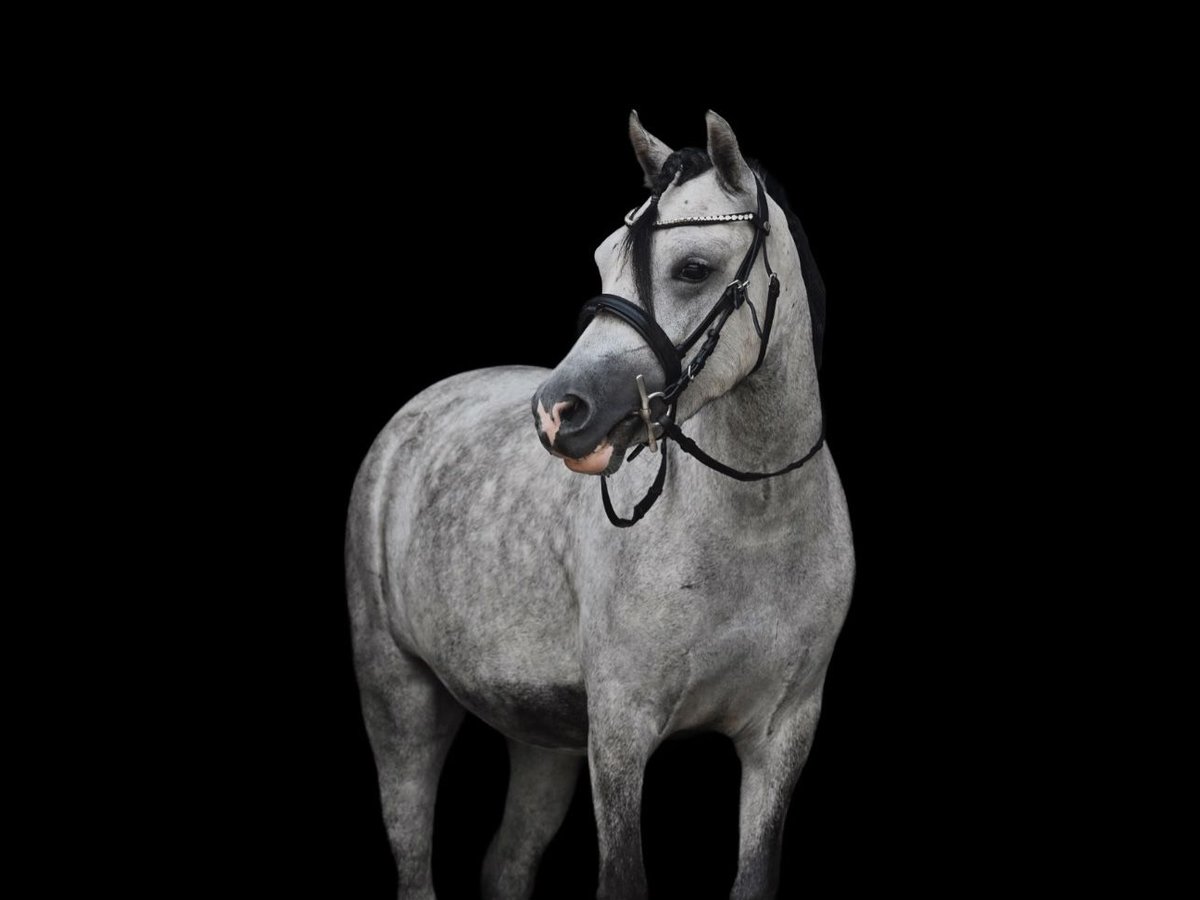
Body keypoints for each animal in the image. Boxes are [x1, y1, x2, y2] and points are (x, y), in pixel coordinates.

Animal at [346, 110, 855, 900]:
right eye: (604, 258)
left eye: (693, 269)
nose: (559, 412)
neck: (755, 525)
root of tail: (417, 414)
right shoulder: (620, 732)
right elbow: (623, 879)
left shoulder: (782, 738)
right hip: (397, 694)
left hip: (542, 738)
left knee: (506, 865)